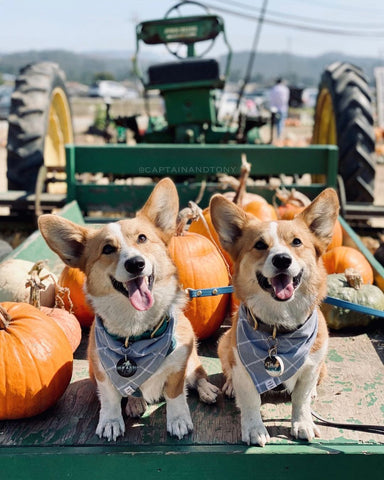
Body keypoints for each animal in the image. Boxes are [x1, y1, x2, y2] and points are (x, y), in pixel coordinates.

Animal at [39, 180, 219, 442]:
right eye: (107, 249)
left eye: (142, 238)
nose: (135, 263)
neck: (136, 330)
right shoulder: (102, 372)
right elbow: (111, 399)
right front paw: (111, 422)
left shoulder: (178, 366)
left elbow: (176, 395)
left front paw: (178, 420)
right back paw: (135, 403)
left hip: (192, 359)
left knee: (197, 374)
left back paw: (206, 389)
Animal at [210, 188, 340, 446]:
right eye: (260, 245)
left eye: (297, 242)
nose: (282, 259)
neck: (279, 326)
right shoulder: (243, 369)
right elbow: (250, 400)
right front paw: (254, 430)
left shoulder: (311, 366)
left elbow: (301, 399)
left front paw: (302, 423)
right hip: (224, 343)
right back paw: (230, 386)